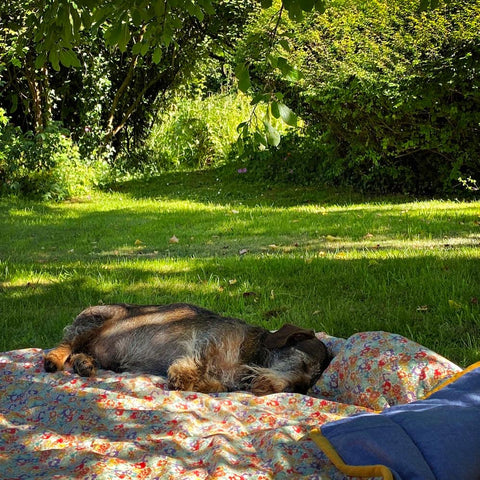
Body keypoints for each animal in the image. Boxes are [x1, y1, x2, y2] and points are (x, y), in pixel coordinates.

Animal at [44, 304, 330, 394]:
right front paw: (184, 376)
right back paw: (54, 360)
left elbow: (217, 385)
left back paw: (84, 364)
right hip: (93, 321)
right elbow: (192, 367)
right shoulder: (207, 342)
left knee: (81, 353)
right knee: (65, 344)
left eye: (305, 386)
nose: (288, 390)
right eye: (303, 364)